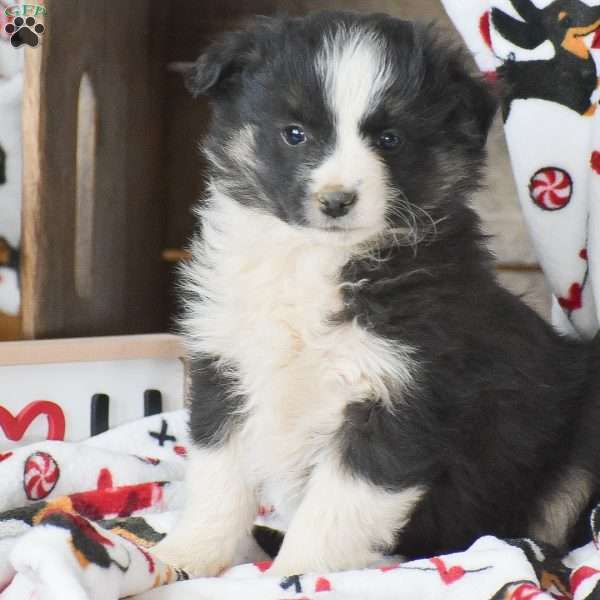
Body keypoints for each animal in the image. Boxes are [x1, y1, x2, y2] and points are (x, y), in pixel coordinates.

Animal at [152, 10, 600, 576]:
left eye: (390, 139)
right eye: (294, 134)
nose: (337, 200)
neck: (317, 260)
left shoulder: (402, 396)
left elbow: (337, 505)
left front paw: (296, 576)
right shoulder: (226, 366)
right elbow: (218, 476)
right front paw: (184, 557)